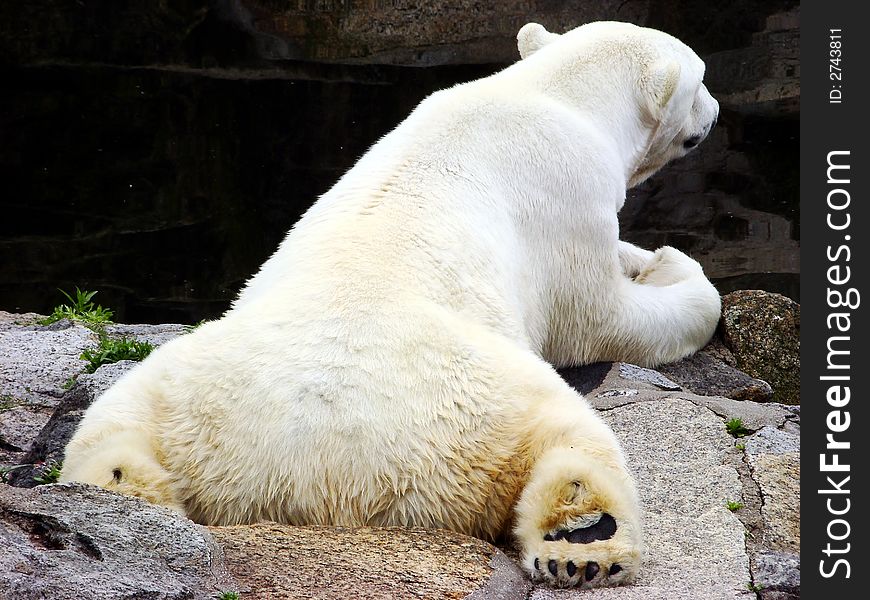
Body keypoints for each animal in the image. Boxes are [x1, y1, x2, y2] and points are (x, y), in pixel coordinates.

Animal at [61, 21, 724, 588]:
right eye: (701, 79)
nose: (716, 110)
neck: (553, 94)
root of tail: (311, 476)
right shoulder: (569, 201)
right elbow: (603, 317)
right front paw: (671, 265)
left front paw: (644, 257)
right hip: (480, 399)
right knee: (571, 436)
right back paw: (582, 540)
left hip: (174, 394)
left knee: (108, 433)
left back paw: (116, 489)